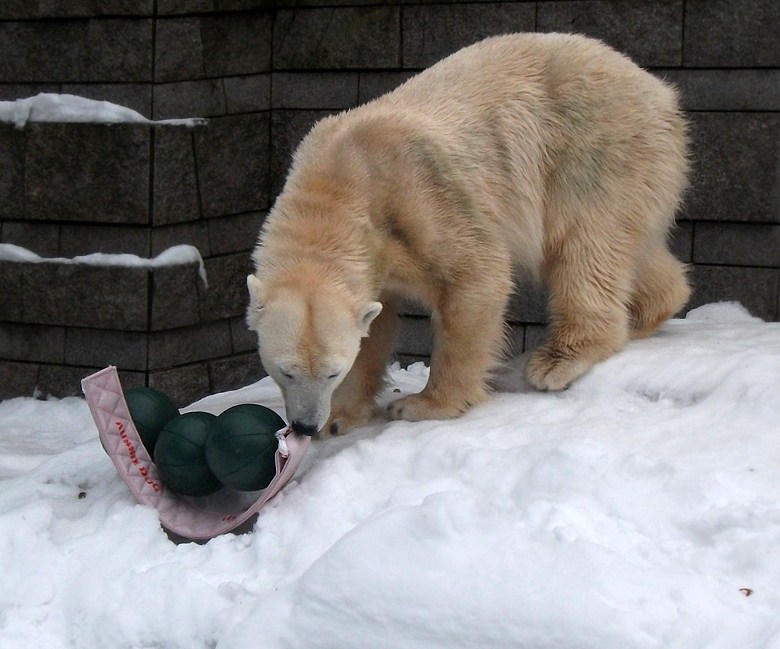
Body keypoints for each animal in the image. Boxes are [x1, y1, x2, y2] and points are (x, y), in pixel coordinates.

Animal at [248, 30, 688, 436]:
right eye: (285, 370)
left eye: (331, 372)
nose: (305, 425)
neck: (341, 178)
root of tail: (660, 92)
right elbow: (375, 323)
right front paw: (341, 417)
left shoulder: (419, 196)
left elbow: (476, 277)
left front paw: (423, 404)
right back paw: (649, 313)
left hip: (593, 149)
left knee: (583, 247)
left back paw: (558, 360)